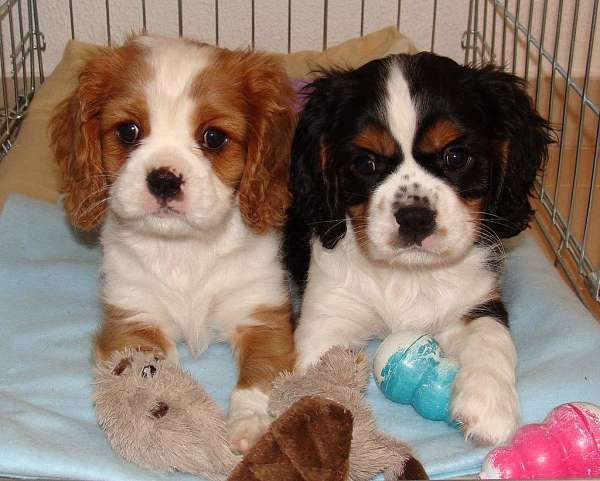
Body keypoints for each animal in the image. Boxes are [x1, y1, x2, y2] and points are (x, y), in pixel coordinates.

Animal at [51, 35, 298, 452]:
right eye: (128, 131)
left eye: (213, 137)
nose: (164, 178)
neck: (182, 248)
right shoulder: (134, 317)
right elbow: (148, 372)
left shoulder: (261, 314)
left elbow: (260, 376)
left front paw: (249, 424)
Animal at [286, 51, 552, 442]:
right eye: (365, 163)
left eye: (456, 157)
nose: (414, 218)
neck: (409, 274)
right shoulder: (329, 315)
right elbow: (321, 374)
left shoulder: (478, 299)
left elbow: (493, 336)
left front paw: (490, 404)